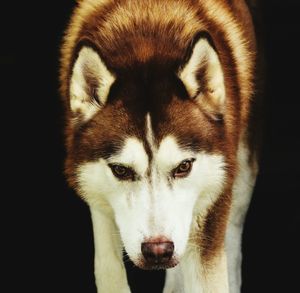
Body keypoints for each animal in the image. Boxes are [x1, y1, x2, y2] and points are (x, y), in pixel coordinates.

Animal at [59, 1, 260, 290]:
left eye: (184, 166)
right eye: (120, 170)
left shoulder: (211, 206)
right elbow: (108, 268)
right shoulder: (97, 197)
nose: (158, 251)